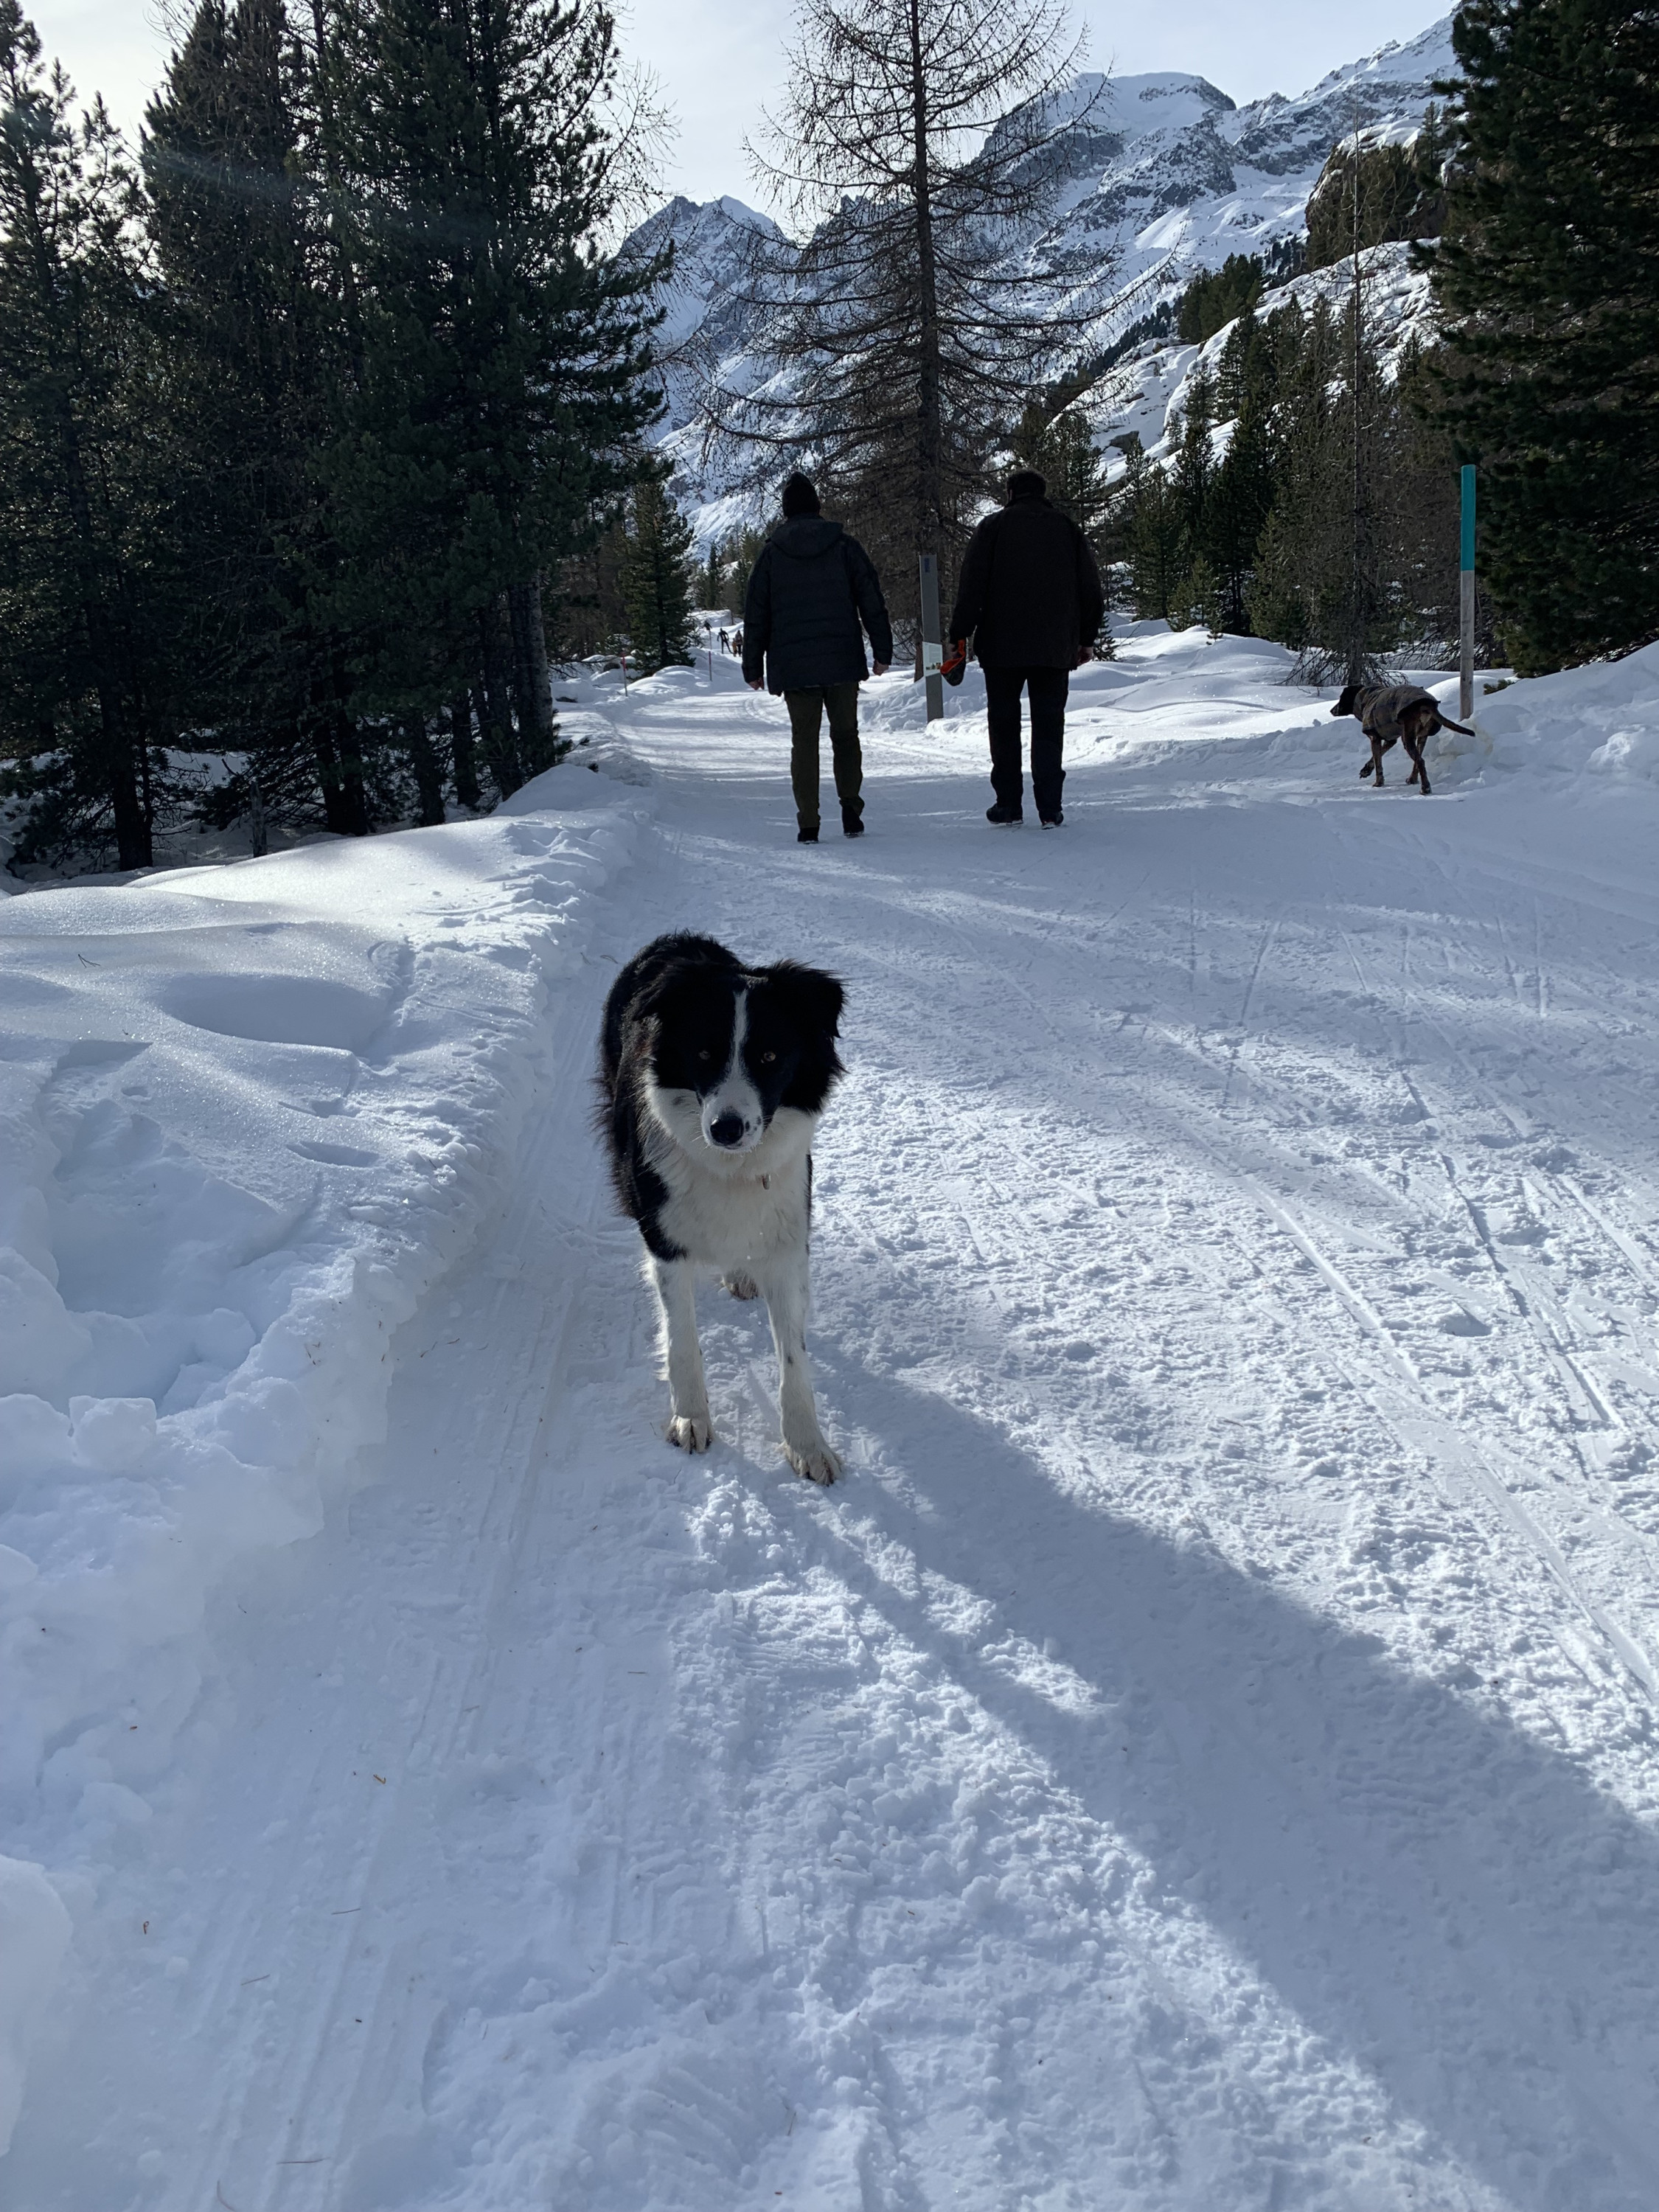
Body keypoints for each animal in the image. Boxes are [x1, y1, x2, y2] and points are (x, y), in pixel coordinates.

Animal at [1336, 690, 1478, 805]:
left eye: (1342, 697)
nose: (1333, 710)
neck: (1368, 696)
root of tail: (1426, 705)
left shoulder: (1375, 738)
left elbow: (1378, 762)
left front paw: (1378, 783)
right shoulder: (1390, 739)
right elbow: (1378, 755)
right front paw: (1366, 770)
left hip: (1408, 738)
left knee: (1420, 761)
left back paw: (1425, 789)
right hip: (1421, 737)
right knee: (1418, 761)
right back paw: (1413, 779)